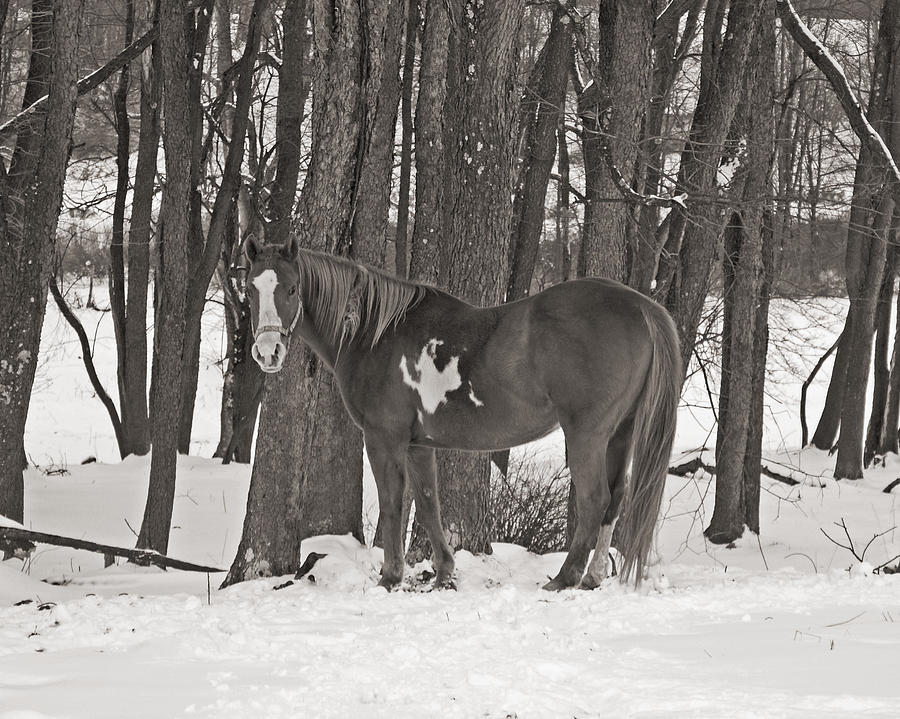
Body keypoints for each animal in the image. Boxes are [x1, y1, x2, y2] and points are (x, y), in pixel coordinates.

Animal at [243, 236, 680, 592]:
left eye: (292, 288)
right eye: (250, 289)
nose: (267, 353)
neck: (375, 334)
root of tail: (642, 306)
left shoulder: (384, 437)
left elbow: (392, 503)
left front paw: (391, 577)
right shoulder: (419, 445)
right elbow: (428, 503)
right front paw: (443, 572)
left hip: (587, 433)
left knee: (594, 499)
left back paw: (564, 578)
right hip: (620, 433)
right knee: (615, 499)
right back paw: (592, 577)